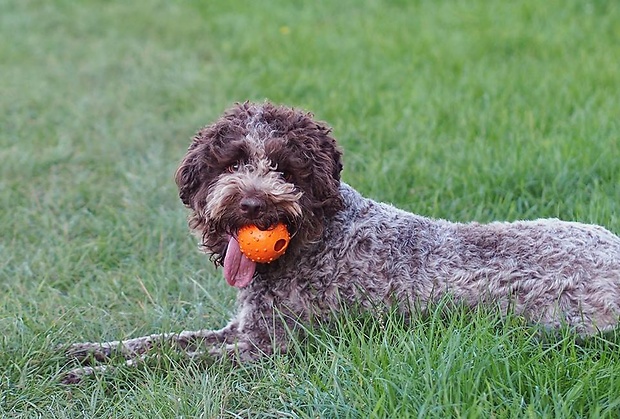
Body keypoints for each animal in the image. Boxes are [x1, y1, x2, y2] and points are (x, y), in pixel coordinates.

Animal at [63, 101, 620, 384]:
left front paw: (96, 377)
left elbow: (170, 360)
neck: (313, 236)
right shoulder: (240, 331)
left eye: (284, 168)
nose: (252, 206)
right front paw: (86, 352)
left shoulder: (268, 350)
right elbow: (160, 340)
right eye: (233, 161)